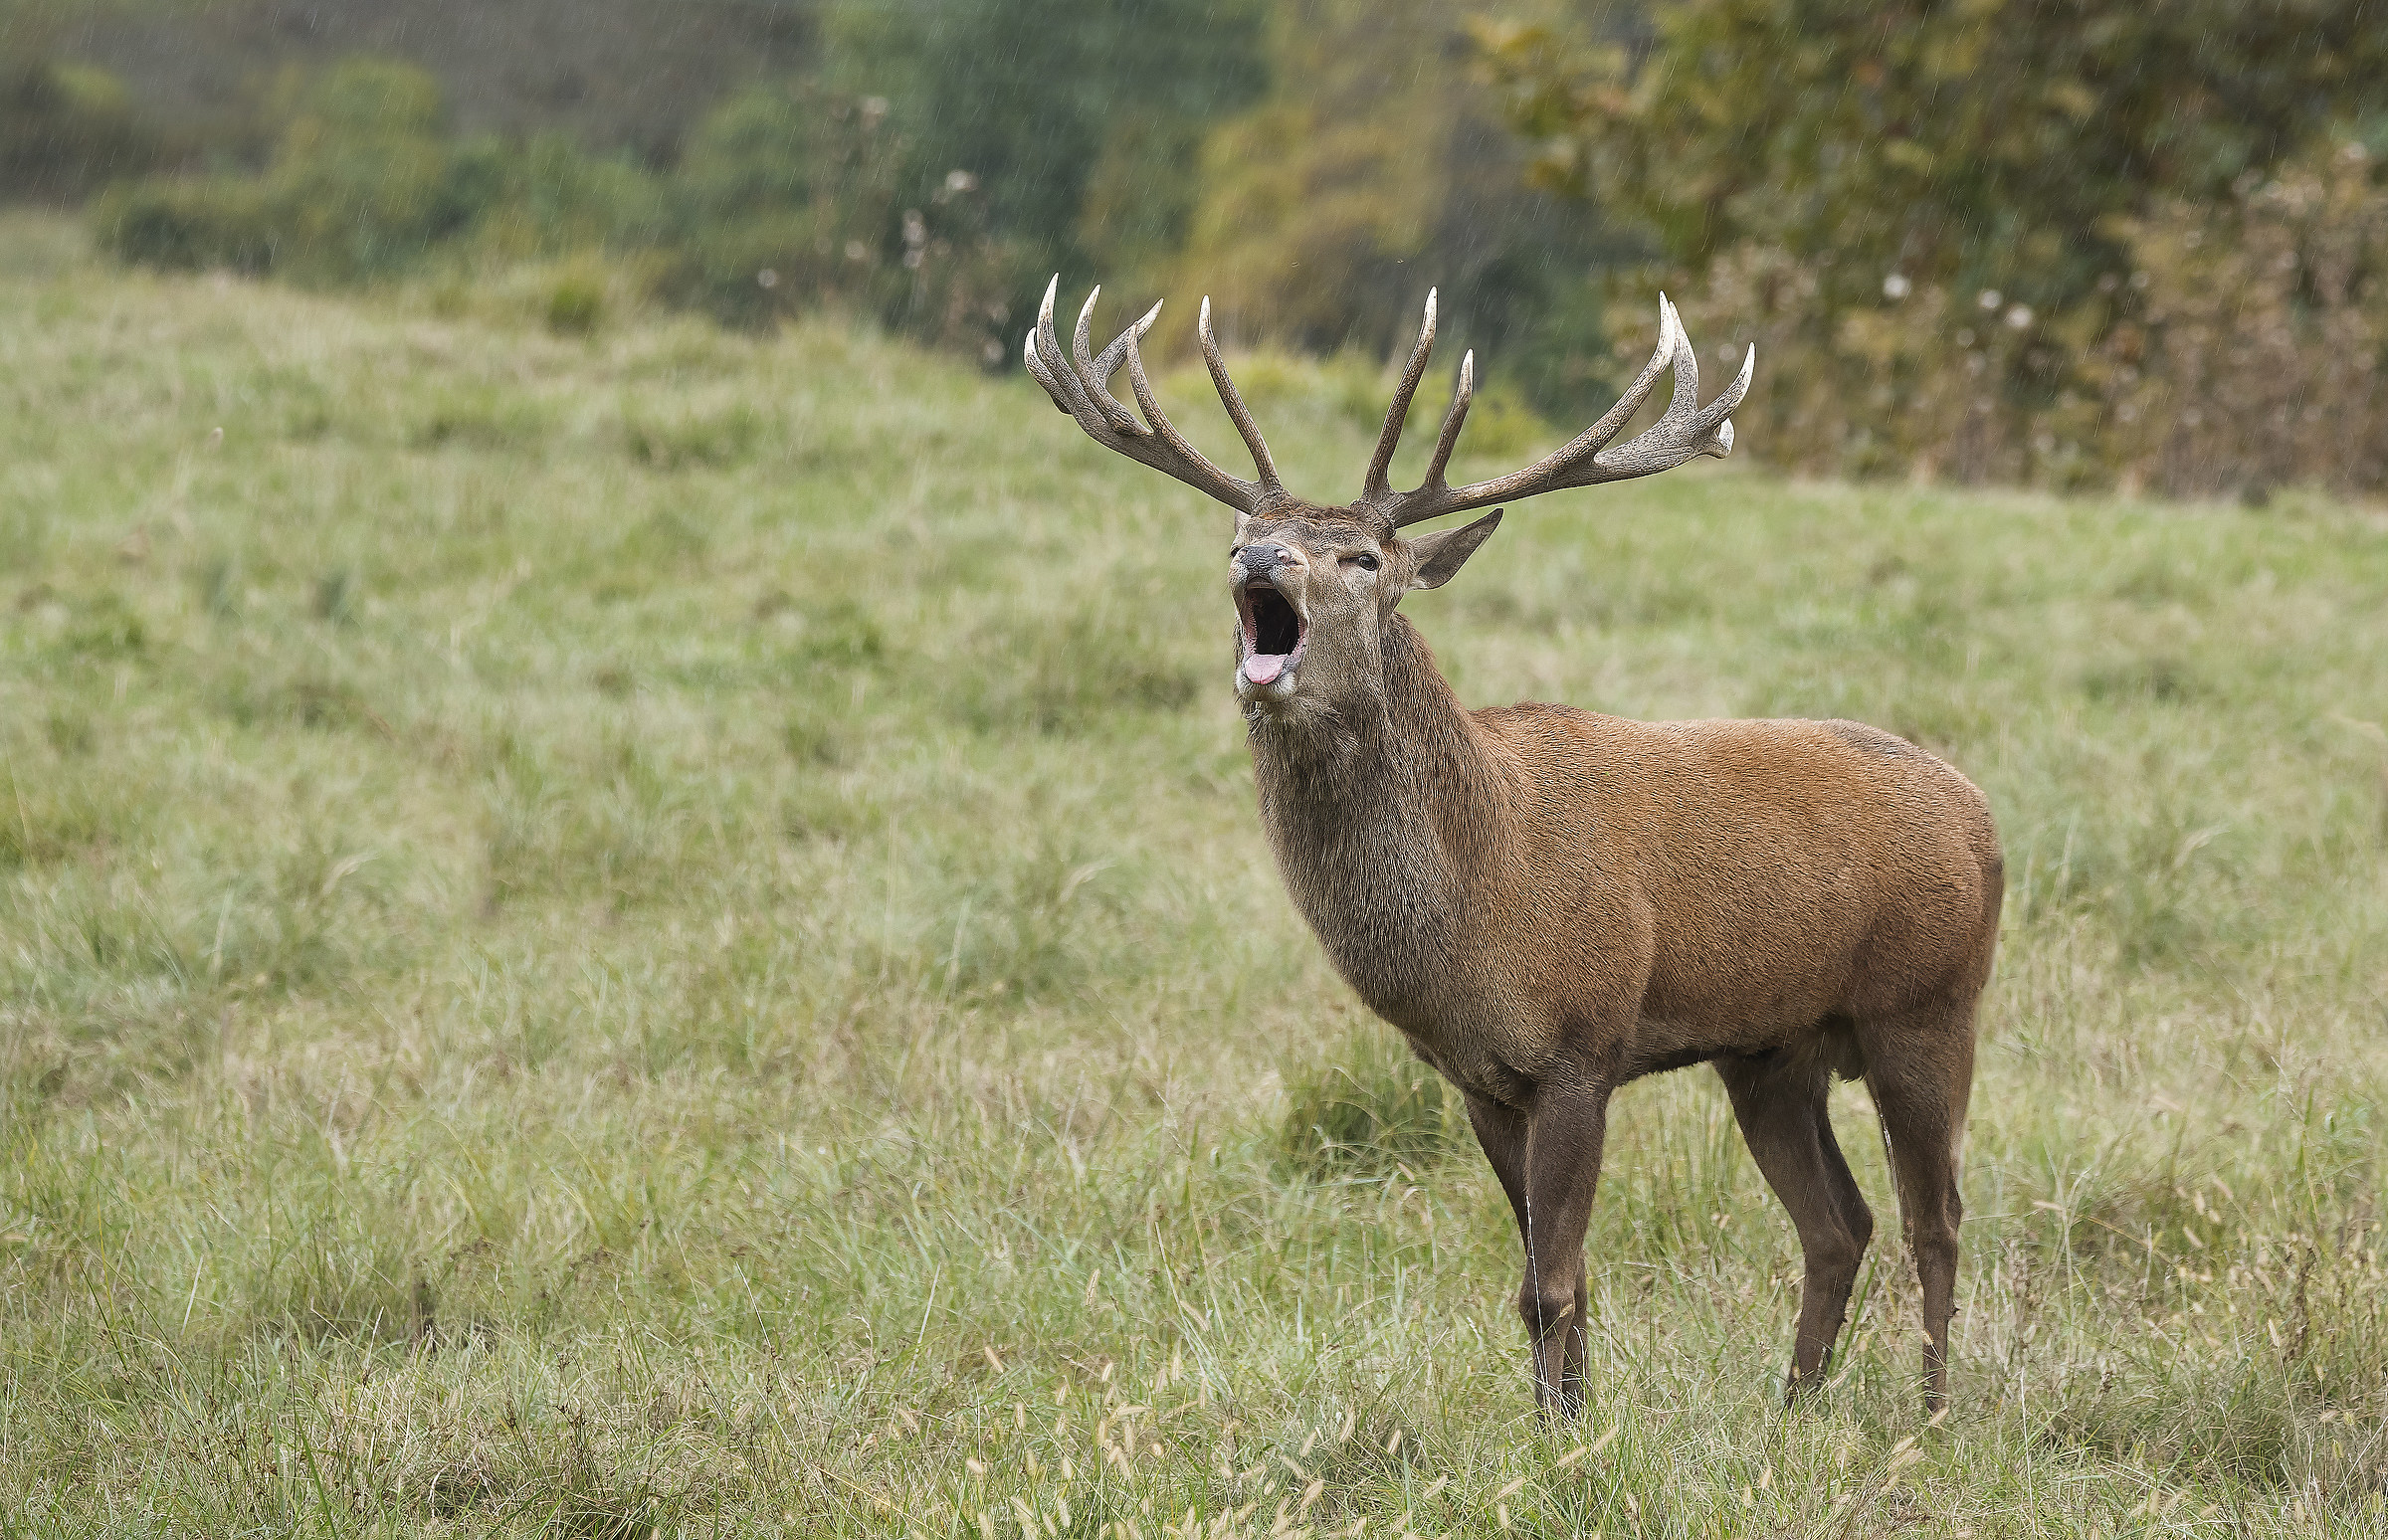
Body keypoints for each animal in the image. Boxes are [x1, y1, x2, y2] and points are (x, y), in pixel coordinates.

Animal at [1024, 277, 2003, 1419]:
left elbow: (1554, 1283)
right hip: (1771, 1052)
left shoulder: (1583, 1041)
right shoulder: (1478, 1078)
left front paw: (1567, 1433)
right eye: (1240, 537)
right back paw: (1793, 1407)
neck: (1478, 904)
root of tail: (1983, 816)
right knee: (1839, 1224)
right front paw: (1564, 1422)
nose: (1261, 558)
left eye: (1363, 557)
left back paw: (1929, 1412)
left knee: (1937, 1219)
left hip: (1929, 1003)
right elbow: (1542, 1277)